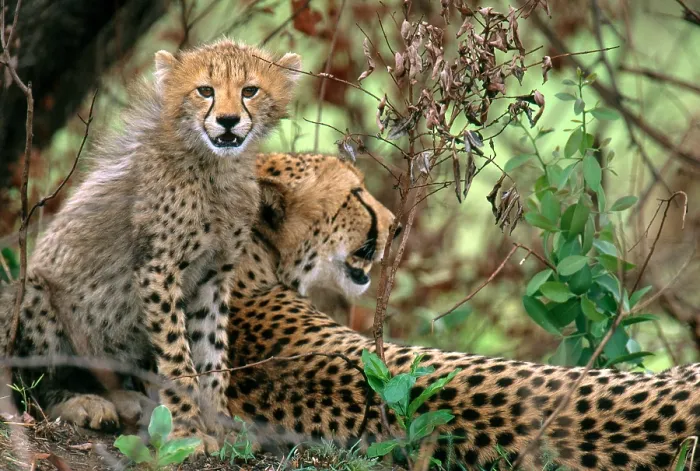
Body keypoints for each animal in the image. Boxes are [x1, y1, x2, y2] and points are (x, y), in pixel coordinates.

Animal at [0, 39, 301, 451]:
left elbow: (211, 352)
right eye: (205, 90)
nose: (227, 121)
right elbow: (177, 356)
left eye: (250, 91)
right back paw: (85, 404)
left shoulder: (214, 276)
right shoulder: (158, 270)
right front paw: (189, 432)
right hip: (31, 294)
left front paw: (219, 423)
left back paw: (128, 401)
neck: (215, 168)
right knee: (35, 387)